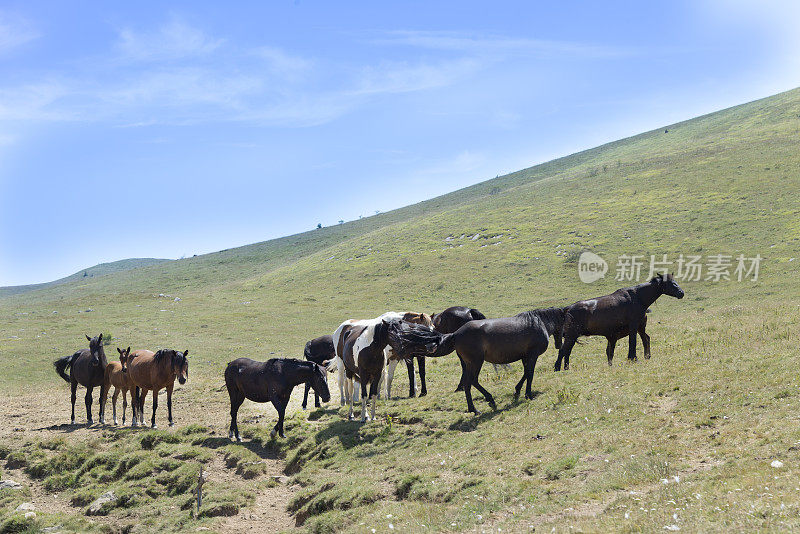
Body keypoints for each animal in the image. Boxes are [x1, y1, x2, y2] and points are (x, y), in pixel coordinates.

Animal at [388, 310, 564, 414]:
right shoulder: (532, 355)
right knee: (472, 381)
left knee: (467, 383)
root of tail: (456, 334)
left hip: (471, 363)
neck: (539, 323)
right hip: (476, 362)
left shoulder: (525, 357)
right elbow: (530, 374)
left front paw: (517, 391)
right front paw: (527, 394)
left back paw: (473, 408)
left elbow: (526, 373)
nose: (559, 345)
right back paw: (489, 401)